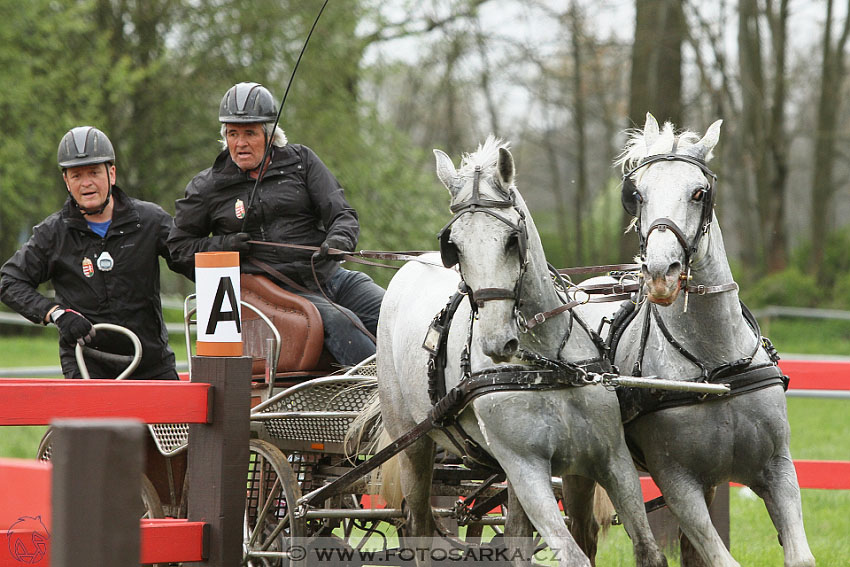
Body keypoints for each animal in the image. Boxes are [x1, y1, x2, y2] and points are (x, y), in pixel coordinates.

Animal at [374, 138, 664, 567]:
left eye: (513, 240)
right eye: (454, 247)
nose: (498, 343)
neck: (545, 365)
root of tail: (409, 269)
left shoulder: (609, 457)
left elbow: (647, 547)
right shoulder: (527, 468)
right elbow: (572, 555)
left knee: (513, 538)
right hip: (413, 445)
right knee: (420, 525)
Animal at [576, 115, 816, 567]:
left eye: (699, 192)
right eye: (636, 195)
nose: (660, 273)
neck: (717, 365)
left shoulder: (777, 468)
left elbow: (799, 556)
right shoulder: (678, 483)